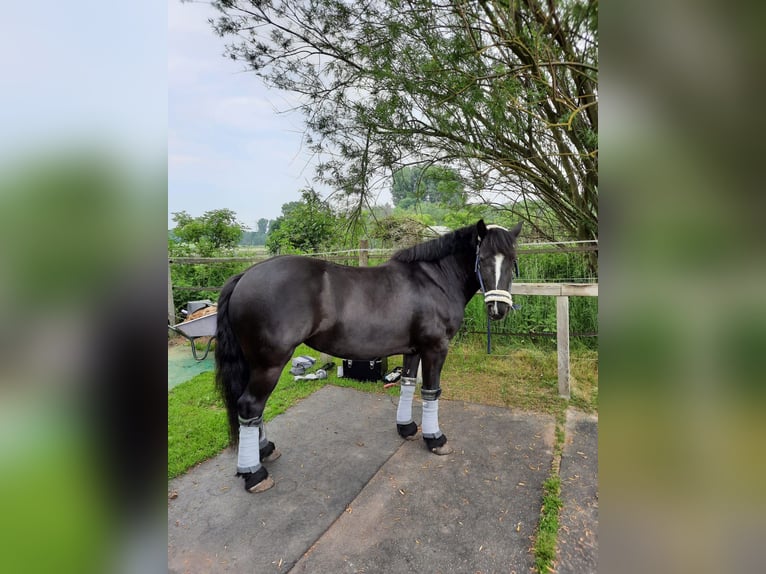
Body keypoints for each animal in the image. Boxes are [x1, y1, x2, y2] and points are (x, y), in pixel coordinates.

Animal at [219, 218, 524, 492]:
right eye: (482, 259)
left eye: (512, 259)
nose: (498, 309)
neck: (433, 280)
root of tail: (245, 275)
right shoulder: (435, 348)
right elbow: (431, 392)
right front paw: (435, 438)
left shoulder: (414, 350)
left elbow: (408, 385)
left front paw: (407, 428)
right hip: (269, 364)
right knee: (250, 406)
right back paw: (254, 473)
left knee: (252, 409)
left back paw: (265, 450)